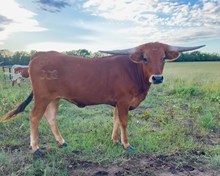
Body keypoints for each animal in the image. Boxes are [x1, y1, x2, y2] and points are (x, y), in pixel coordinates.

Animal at [0, 42, 205, 157]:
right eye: (145, 58)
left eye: (163, 58)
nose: (157, 78)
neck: (134, 71)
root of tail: (40, 53)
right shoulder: (123, 101)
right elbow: (124, 122)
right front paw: (126, 144)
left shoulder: (118, 103)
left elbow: (116, 121)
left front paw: (114, 141)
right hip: (42, 97)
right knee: (34, 117)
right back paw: (36, 148)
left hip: (54, 98)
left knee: (50, 118)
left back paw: (62, 142)